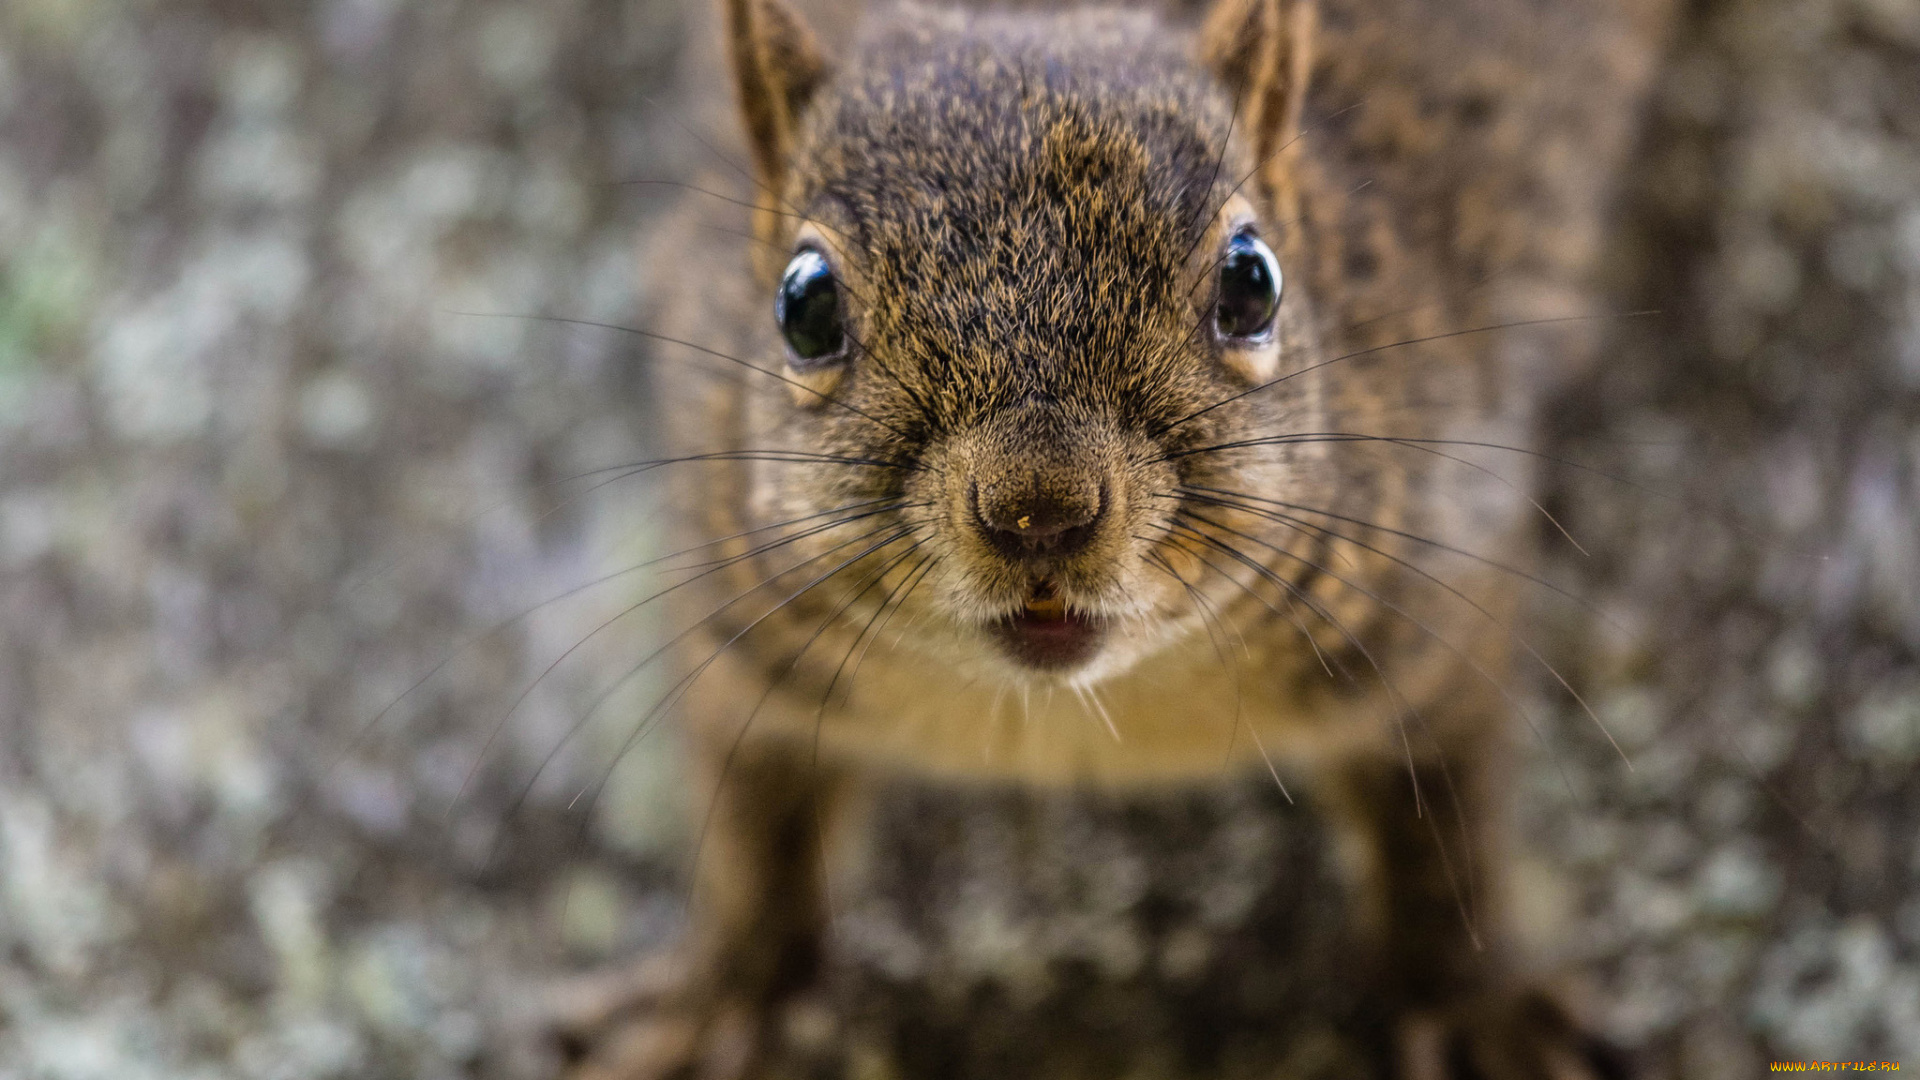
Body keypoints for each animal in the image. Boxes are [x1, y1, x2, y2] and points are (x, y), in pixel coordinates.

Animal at [560, 0, 1681, 1068]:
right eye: (804, 305)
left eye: (1252, 281)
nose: (1039, 510)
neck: (1071, 716)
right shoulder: (742, 622)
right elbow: (753, 833)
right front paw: (719, 993)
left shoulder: (1439, 593)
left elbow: (1449, 831)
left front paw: (1470, 998)